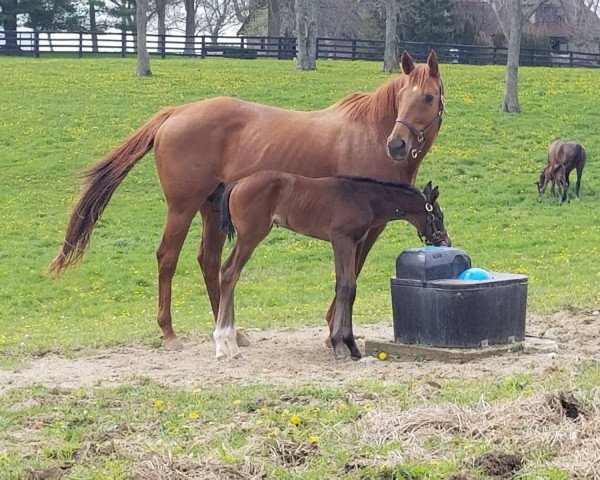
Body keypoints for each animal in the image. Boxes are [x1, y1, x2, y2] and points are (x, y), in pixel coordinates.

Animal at [216, 172, 450, 360]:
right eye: (438, 215)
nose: (445, 241)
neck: (363, 198)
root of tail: (238, 183)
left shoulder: (353, 243)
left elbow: (350, 288)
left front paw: (352, 346)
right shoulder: (341, 241)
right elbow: (344, 287)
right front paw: (339, 345)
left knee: (228, 273)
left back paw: (227, 345)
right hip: (251, 235)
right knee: (229, 272)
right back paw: (226, 344)